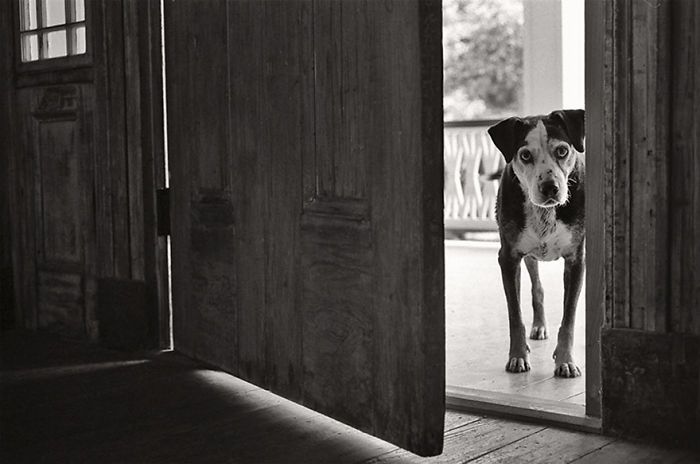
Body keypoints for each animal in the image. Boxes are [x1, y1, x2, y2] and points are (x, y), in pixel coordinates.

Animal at [486, 110, 584, 378]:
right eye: (525, 155)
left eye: (562, 150)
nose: (550, 187)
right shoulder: (508, 258)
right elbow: (515, 314)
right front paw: (518, 356)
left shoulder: (576, 259)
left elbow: (569, 317)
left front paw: (566, 361)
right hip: (528, 256)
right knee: (536, 288)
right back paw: (539, 326)